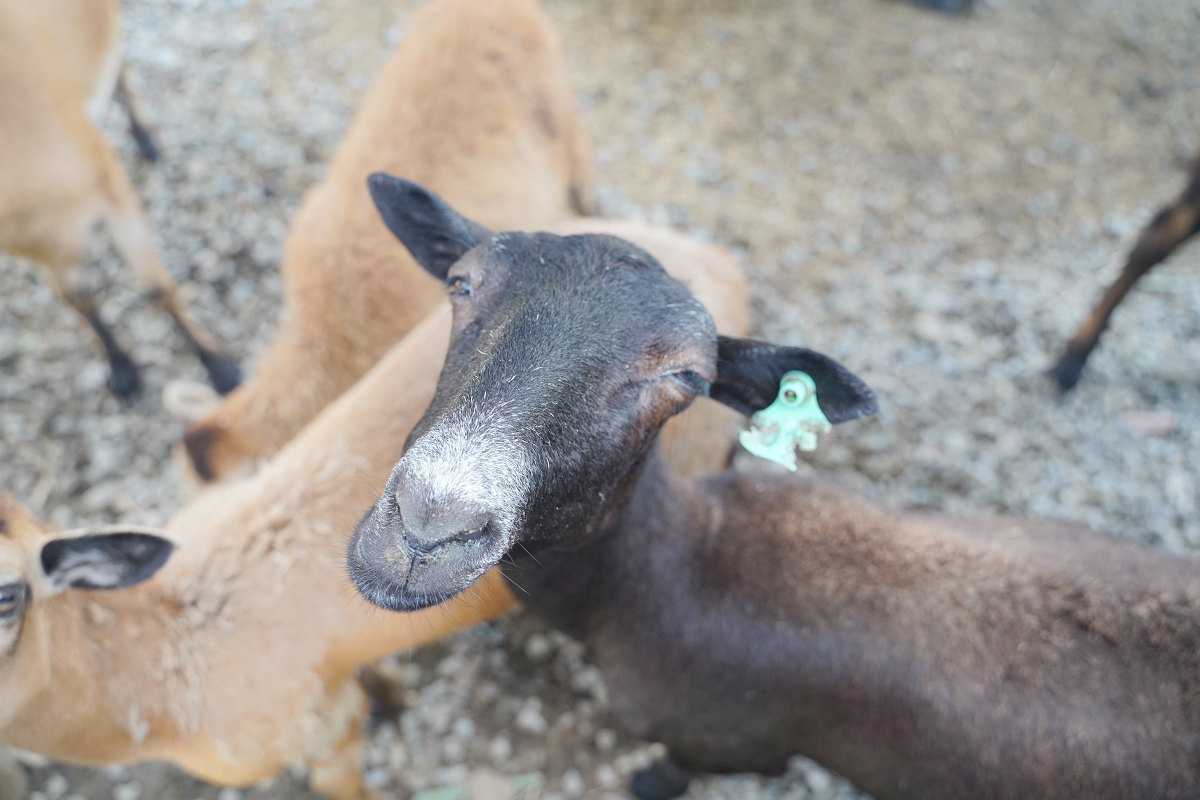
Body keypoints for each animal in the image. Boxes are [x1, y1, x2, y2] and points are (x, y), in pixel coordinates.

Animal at [0, 0, 239, 396]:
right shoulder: (37, 249)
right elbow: (77, 299)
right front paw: (122, 368)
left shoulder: (112, 188)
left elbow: (156, 288)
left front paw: (219, 367)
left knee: (119, 62)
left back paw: (147, 140)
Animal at [349, 177, 1200, 800]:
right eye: (461, 285)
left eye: (687, 379)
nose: (424, 528)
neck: (671, 573)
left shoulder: (719, 743)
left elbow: (671, 774)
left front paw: (645, 782)